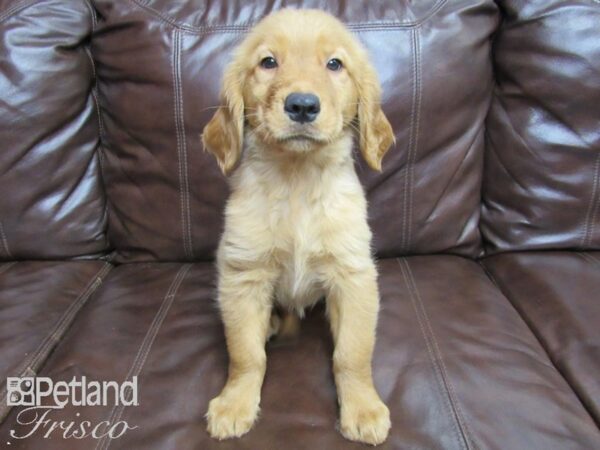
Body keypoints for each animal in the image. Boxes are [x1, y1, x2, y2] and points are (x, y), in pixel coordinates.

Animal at [204, 7, 396, 446]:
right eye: (268, 62)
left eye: (335, 64)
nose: (303, 105)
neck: (297, 179)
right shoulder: (243, 274)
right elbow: (246, 355)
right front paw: (235, 404)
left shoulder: (353, 276)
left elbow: (352, 354)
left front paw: (363, 408)